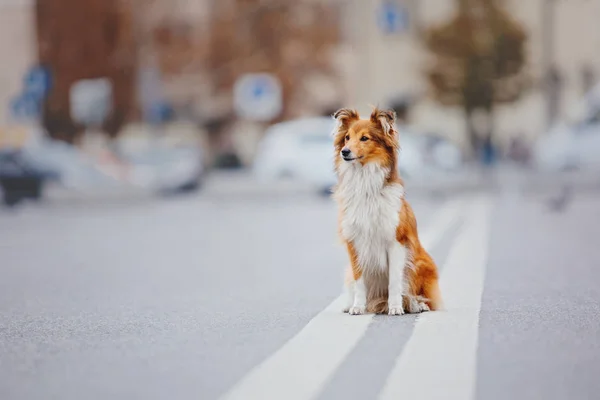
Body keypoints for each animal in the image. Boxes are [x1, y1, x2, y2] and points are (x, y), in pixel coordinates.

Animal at [330, 106, 442, 316]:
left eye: (365, 138)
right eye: (347, 137)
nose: (344, 152)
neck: (365, 183)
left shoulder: (396, 242)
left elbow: (395, 281)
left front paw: (396, 307)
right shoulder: (354, 243)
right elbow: (359, 281)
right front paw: (357, 307)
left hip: (421, 263)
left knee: (420, 296)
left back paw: (416, 305)